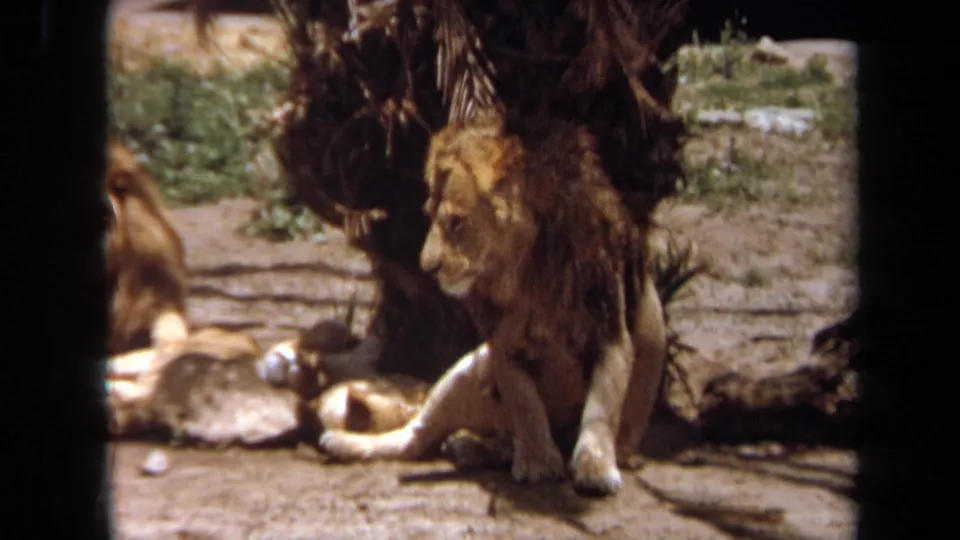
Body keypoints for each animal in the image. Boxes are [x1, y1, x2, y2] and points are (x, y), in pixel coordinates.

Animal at [319, 111, 668, 496]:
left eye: (456, 223)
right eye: (429, 215)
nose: (426, 267)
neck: (529, 270)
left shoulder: (610, 331)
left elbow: (602, 407)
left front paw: (595, 467)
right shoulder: (502, 345)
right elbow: (525, 403)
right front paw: (537, 463)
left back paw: (478, 448)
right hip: (467, 370)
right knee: (414, 437)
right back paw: (350, 443)